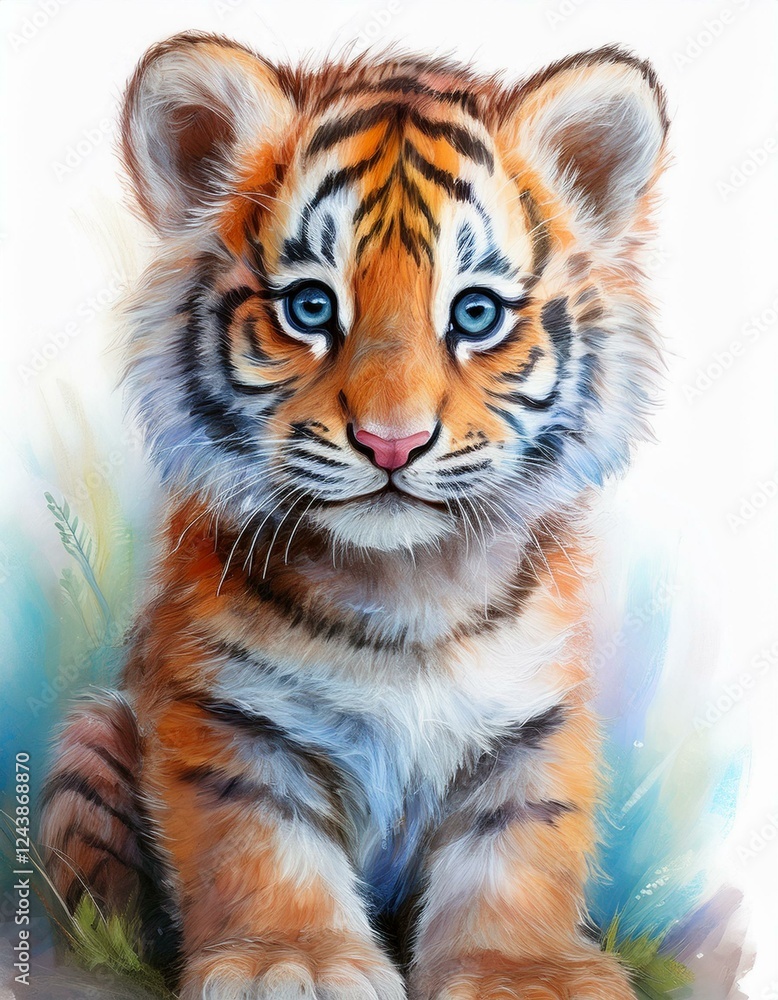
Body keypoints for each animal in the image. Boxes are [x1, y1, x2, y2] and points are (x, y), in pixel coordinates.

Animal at [39, 32, 669, 1000]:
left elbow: (520, 847)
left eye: (475, 313)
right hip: (91, 733)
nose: (390, 442)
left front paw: (524, 973)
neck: (406, 589)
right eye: (310, 307)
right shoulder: (226, 714)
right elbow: (260, 841)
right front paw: (288, 961)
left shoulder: (534, 724)